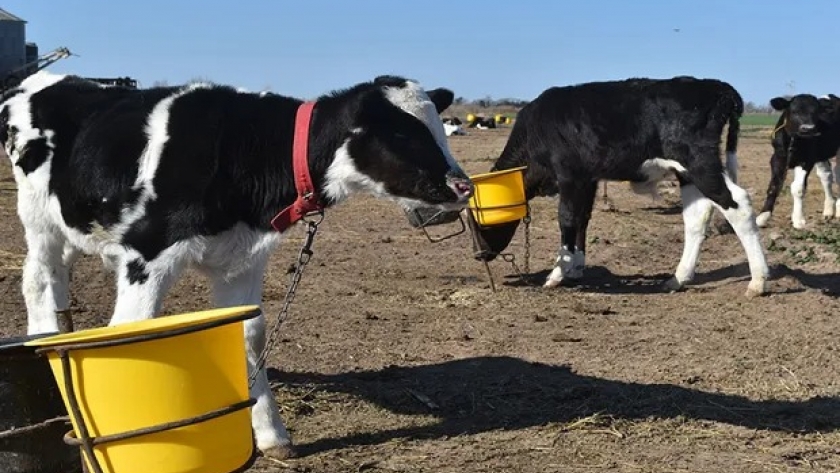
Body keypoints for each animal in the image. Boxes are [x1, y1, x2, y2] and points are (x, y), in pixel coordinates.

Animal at [0, 73, 472, 458]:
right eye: (402, 133)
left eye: (439, 128)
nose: (462, 186)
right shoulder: (147, 251)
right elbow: (129, 330)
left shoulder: (242, 258)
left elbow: (249, 334)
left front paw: (271, 434)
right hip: (39, 219)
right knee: (39, 281)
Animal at [452, 77, 768, 296]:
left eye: (478, 219)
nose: (479, 255)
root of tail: (715, 86)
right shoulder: (588, 180)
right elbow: (582, 219)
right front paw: (576, 267)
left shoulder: (570, 175)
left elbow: (567, 218)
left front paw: (557, 273)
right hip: (688, 173)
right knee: (697, 217)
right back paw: (678, 278)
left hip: (701, 163)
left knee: (738, 204)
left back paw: (758, 280)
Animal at [756, 92, 840, 229]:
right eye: (795, 111)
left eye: (816, 112)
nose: (809, 128)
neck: (793, 141)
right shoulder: (778, 158)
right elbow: (774, 186)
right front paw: (763, 217)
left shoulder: (806, 160)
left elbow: (798, 188)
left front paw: (798, 219)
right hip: (821, 154)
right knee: (826, 176)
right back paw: (828, 210)